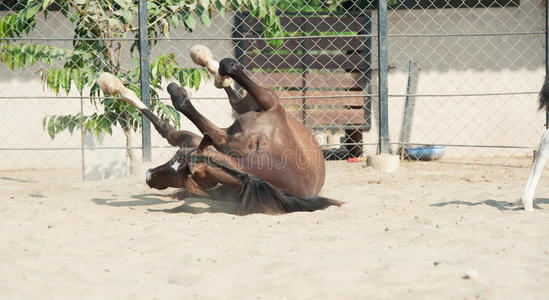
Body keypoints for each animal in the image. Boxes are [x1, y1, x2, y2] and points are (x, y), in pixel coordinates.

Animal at [96, 58, 340, 216]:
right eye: (175, 156)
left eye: (180, 176)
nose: (149, 175)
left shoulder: (268, 105)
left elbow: (182, 112)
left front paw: (176, 90)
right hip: (245, 111)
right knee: (231, 97)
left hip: (259, 104)